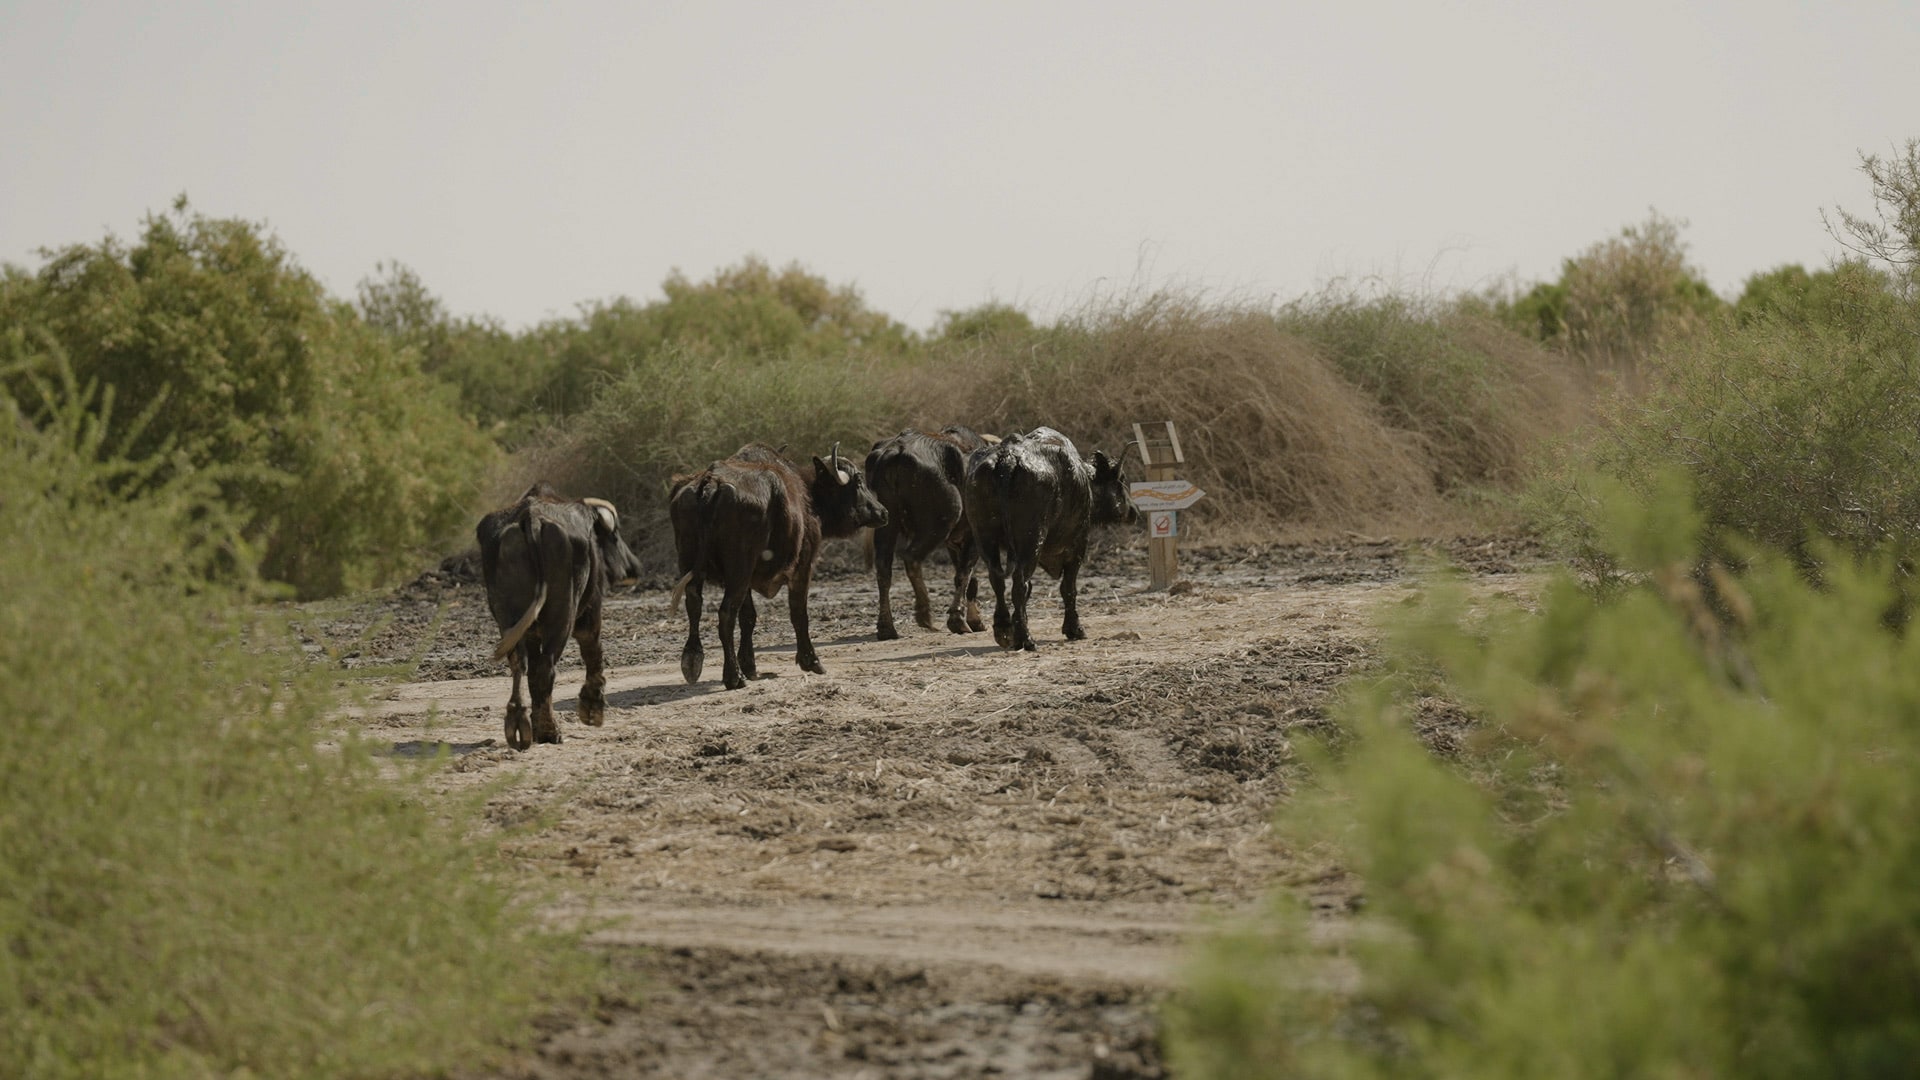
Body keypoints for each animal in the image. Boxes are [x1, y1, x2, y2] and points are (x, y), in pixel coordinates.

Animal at [478, 483, 643, 750]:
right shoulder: (591, 607)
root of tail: (531, 518)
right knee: (546, 668)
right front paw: (592, 706)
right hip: (563, 613)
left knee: (520, 664)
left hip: (508, 619)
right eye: (615, 535)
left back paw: (520, 723)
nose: (634, 568)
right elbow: (592, 649)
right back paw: (549, 730)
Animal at [670, 443, 889, 689]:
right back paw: (733, 676)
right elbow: (799, 613)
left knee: (694, 604)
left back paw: (693, 659)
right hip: (738, 571)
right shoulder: (802, 567)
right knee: (726, 614)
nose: (883, 512)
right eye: (858, 481)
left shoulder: (748, 582)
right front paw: (811, 660)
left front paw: (750, 667)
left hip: (692, 563)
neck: (808, 496)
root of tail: (711, 483)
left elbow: (748, 617)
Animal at [963, 428, 1137, 651]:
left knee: (998, 581)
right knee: (1019, 583)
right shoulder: (1077, 546)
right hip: (1031, 541)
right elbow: (1068, 589)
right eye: (1121, 480)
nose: (1133, 511)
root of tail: (1007, 458)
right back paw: (1026, 638)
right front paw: (1075, 629)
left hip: (985, 538)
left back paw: (1004, 630)